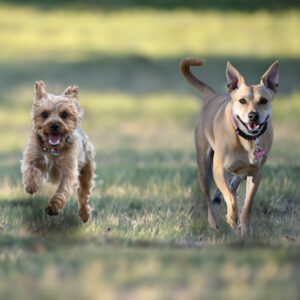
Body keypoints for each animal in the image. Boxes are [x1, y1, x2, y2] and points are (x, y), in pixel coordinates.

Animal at [178, 58, 278, 236]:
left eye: (264, 101)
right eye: (242, 100)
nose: (253, 116)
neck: (247, 140)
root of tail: (214, 96)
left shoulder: (256, 174)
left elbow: (247, 205)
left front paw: (244, 229)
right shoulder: (218, 170)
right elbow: (231, 199)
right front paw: (232, 218)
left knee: (234, 183)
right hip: (204, 169)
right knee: (209, 198)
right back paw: (213, 223)